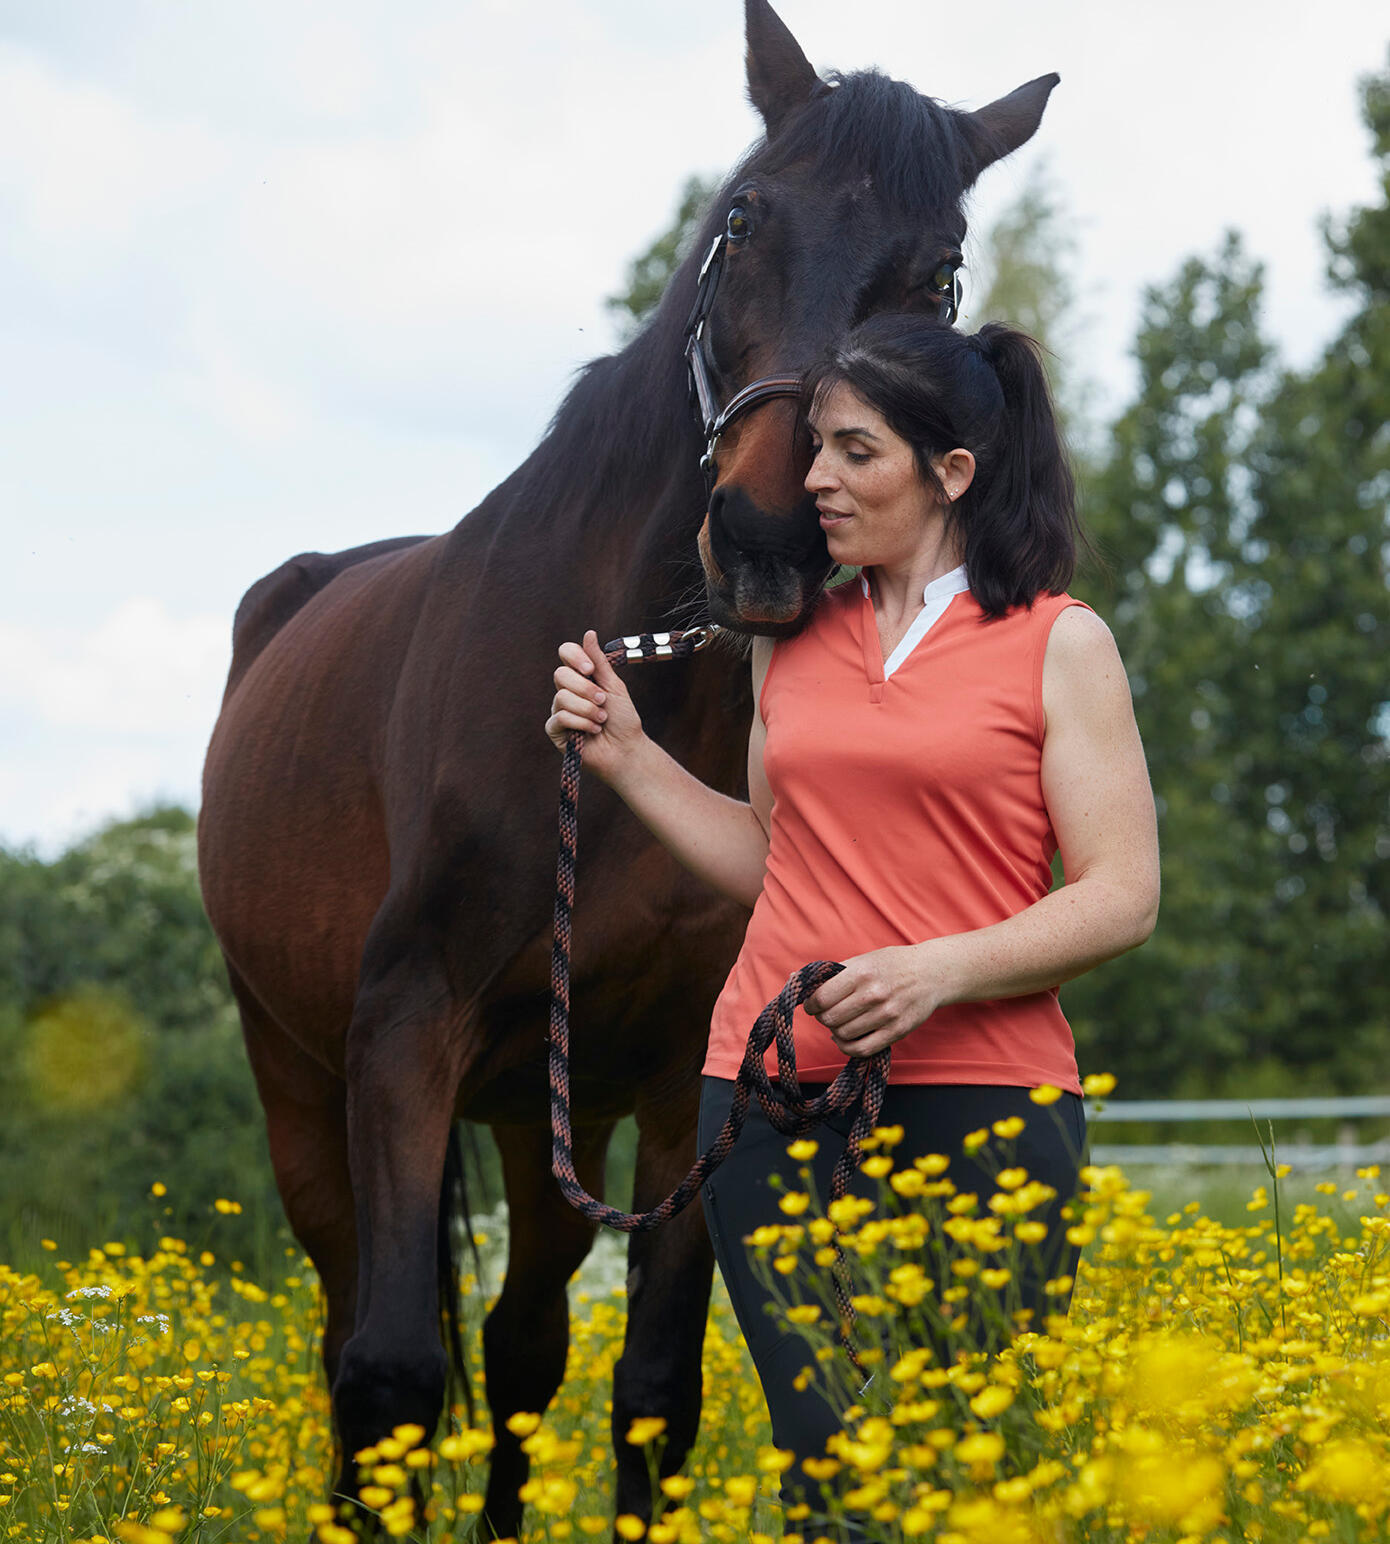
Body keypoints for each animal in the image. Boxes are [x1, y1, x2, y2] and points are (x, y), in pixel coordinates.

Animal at [197, 3, 1056, 1531]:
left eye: (940, 271)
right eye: (745, 215)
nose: (773, 531)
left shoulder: (681, 1078)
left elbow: (650, 1387)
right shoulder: (403, 1029)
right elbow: (390, 1374)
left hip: (554, 1113)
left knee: (524, 1339)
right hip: (298, 1080)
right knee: (355, 1335)